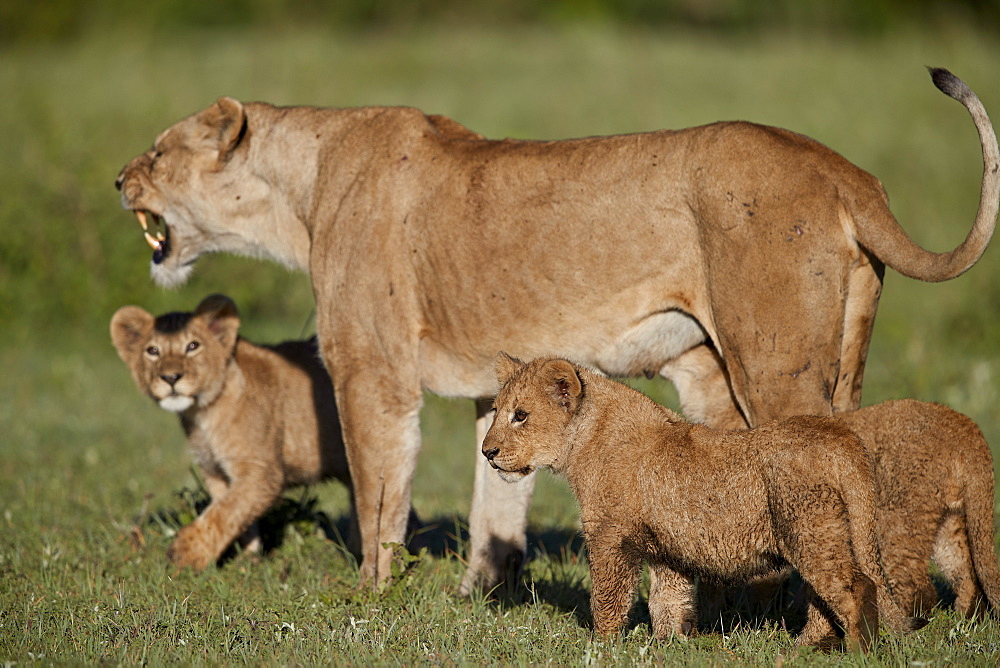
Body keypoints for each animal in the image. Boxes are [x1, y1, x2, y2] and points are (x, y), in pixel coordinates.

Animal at [113, 66, 996, 588]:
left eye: (158, 152)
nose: (119, 178)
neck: (293, 189)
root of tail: (846, 172)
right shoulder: (489, 391)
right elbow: (496, 506)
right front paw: (480, 598)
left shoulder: (372, 373)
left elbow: (378, 495)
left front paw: (372, 596)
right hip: (776, 368)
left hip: (771, 368)